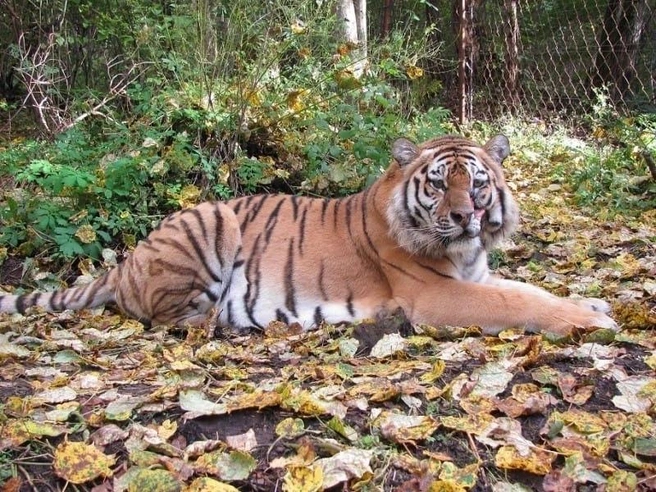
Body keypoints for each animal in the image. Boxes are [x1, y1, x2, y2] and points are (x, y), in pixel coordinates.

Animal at [0, 134, 617, 336]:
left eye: (480, 185)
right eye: (441, 184)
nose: (466, 217)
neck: (463, 255)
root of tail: (127, 261)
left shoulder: (475, 275)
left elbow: (527, 289)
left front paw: (591, 302)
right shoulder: (435, 294)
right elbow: (518, 302)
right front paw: (592, 320)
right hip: (211, 221)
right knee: (168, 318)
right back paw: (228, 325)